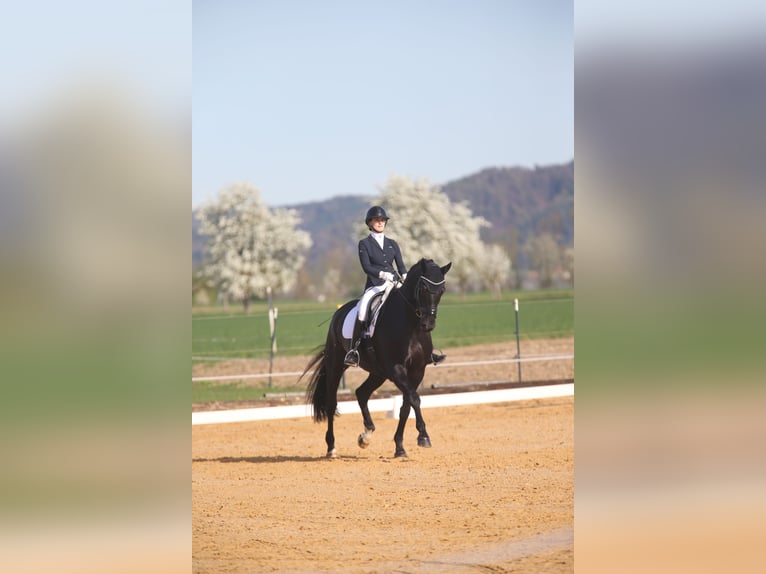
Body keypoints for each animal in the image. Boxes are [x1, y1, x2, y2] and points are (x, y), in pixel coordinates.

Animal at [302, 258, 452, 458]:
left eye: (442, 289)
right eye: (424, 288)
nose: (428, 324)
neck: (411, 326)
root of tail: (339, 313)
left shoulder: (417, 371)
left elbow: (406, 406)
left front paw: (400, 447)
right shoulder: (396, 369)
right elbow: (414, 399)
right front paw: (423, 436)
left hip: (378, 372)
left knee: (361, 393)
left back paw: (366, 435)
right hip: (336, 365)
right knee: (332, 403)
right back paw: (331, 447)